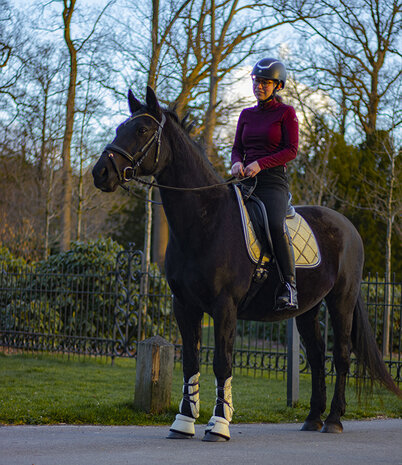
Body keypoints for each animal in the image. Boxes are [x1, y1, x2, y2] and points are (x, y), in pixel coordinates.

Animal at [92, 88, 400, 442]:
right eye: (120, 128)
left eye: (142, 130)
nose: (100, 172)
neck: (205, 220)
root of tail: (348, 226)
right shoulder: (184, 305)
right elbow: (190, 361)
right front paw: (183, 422)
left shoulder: (225, 306)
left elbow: (222, 362)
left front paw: (219, 424)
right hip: (308, 308)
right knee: (316, 357)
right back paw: (312, 418)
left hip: (341, 301)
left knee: (341, 356)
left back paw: (334, 419)